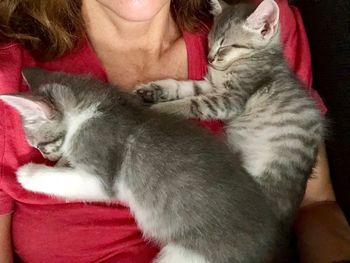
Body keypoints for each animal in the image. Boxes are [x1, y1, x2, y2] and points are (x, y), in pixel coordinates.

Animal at [136, 0, 326, 227]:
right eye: (209, 42)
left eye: (224, 46)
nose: (209, 59)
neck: (249, 58)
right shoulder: (211, 86)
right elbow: (184, 87)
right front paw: (154, 90)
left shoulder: (232, 98)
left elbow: (193, 103)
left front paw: (162, 110)